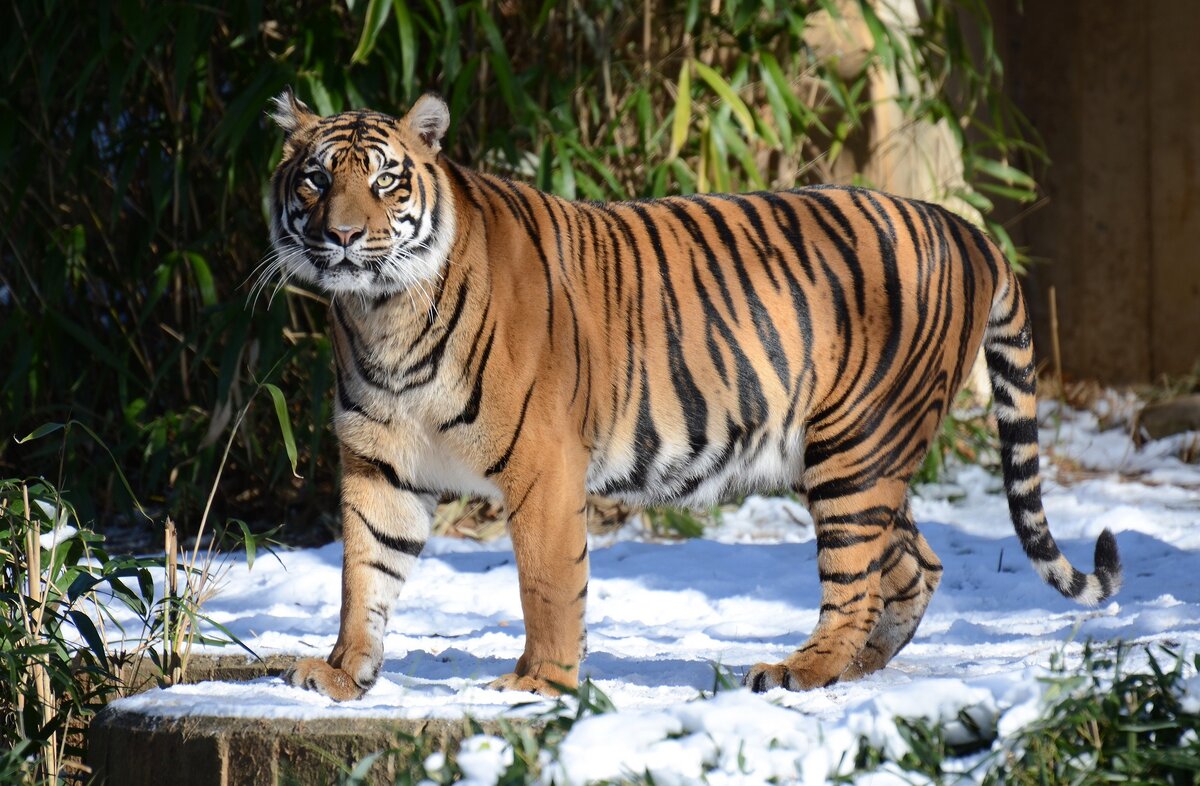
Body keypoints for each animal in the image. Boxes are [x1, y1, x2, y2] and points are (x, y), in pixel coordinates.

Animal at [267, 90, 1118, 700]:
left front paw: (539, 683)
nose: (343, 236)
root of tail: (968, 229)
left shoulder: (542, 466)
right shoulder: (381, 463)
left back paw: (802, 670)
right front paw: (341, 671)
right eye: (316, 178)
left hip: (858, 447)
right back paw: (859, 665)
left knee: (856, 579)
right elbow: (363, 573)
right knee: (914, 565)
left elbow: (547, 583)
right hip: (846, 455)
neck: (382, 312)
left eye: (385, 180)